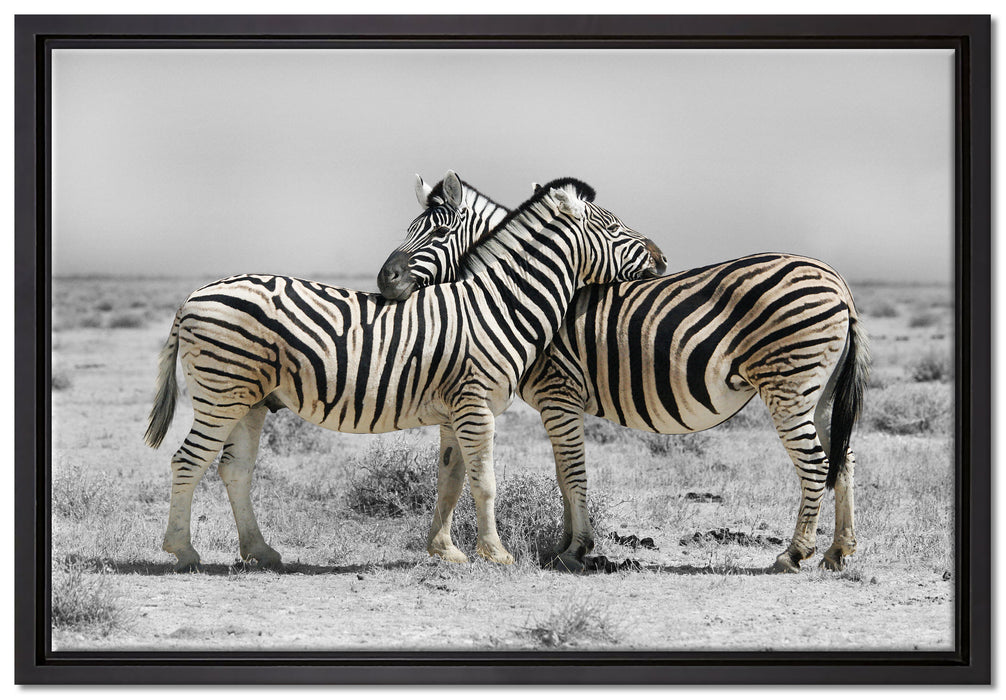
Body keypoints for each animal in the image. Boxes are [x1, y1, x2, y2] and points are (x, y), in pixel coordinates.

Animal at [144, 174, 665, 572]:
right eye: (614, 226)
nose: (661, 258)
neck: (499, 305)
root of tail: (193, 297)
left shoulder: (455, 411)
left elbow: (451, 480)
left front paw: (446, 550)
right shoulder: (476, 405)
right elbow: (485, 481)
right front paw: (496, 554)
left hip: (249, 400)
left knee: (234, 469)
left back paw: (260, 551)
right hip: (221, 392)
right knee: (187, 461)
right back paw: (183, 551)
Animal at [377, 177, 869, 574]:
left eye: (438, 232)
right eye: (409, 229)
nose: (385, 280)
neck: (515, 294)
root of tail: (839, 282)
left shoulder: (559, 392)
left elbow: (572, 472)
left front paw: (576, 550)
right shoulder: (560, 402)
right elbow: (563, 475)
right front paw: (564, 546)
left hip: (787, 385)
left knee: (816, 463)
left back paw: (795, 553)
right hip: (818, 392)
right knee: (842, 458)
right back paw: (838, 551)